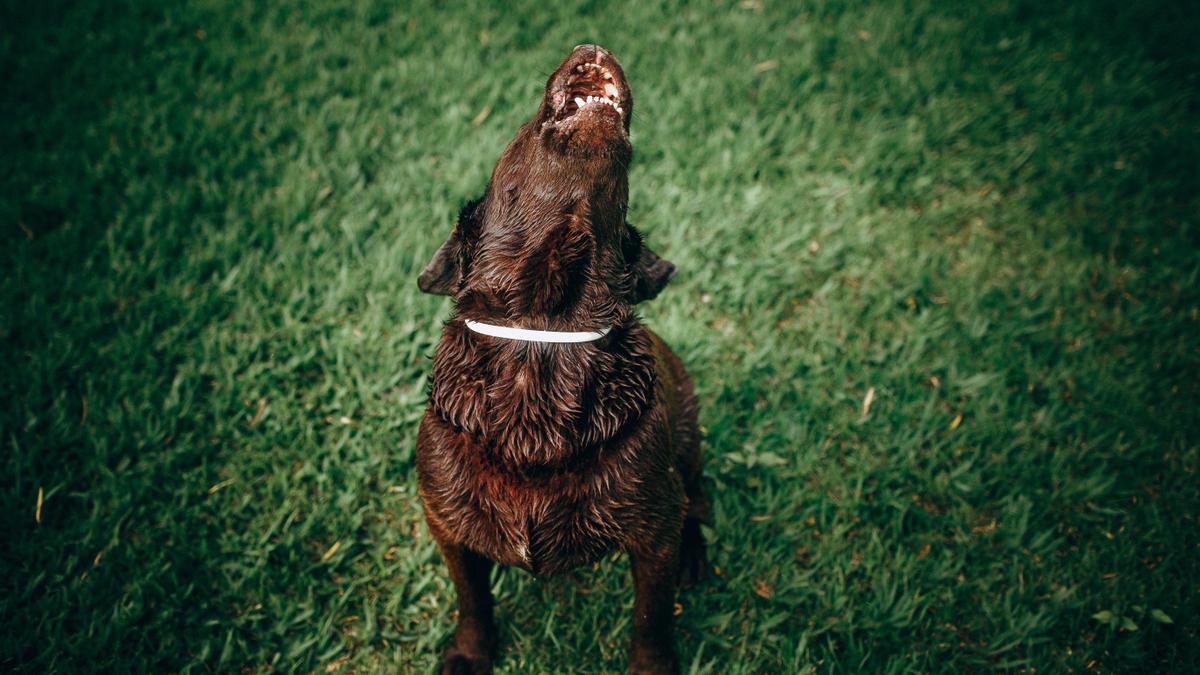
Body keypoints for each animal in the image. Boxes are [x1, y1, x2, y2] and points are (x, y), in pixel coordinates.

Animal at [417, 44, 705, 667]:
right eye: (521, 129)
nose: (591, 47)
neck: (546, 329)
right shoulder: (445, 521)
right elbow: (472, 599)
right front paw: (471, 653)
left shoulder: (653, 530)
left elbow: (650, 620)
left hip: (689, 439)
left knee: (696, 498)